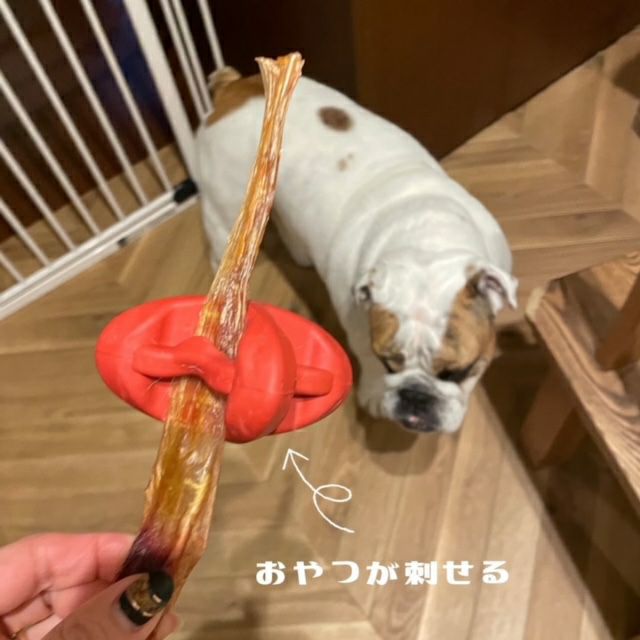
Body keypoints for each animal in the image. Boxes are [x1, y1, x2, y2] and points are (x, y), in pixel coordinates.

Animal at [195, 68, 517, 434]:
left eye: (459, 372)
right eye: (388, 363)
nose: (416, 396)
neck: (430, 238)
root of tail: (232, 89)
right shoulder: (361, 330)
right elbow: (365, 357)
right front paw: (374, 394)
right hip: (226, 210)